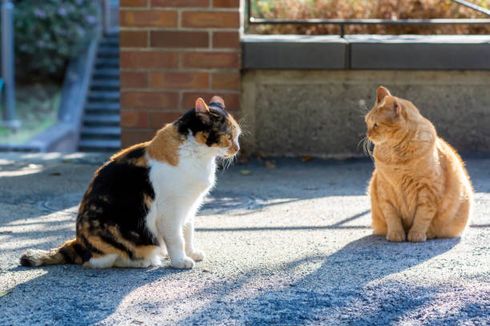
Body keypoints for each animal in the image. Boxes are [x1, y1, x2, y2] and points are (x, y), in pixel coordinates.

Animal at [20, 95, 241, 268]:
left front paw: (192, 253)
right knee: (102, 262)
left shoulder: (190, 207)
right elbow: (176, 238)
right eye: (228, 136)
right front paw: (180, 260)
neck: (199, 156)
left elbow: (188, 233)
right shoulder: (171, 210)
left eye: (238, 136)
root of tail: (78, 243)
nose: (237, 148)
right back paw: (148, 260)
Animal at [366, 86, 472, 242]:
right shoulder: (385, 191)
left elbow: (422, 217)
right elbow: (392, 216)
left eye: (376, 125)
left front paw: (416, 234)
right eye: (366, 122)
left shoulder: (428, 191)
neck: (397, 158)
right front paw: (395, 234)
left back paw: (430, 233)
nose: (367, 134)